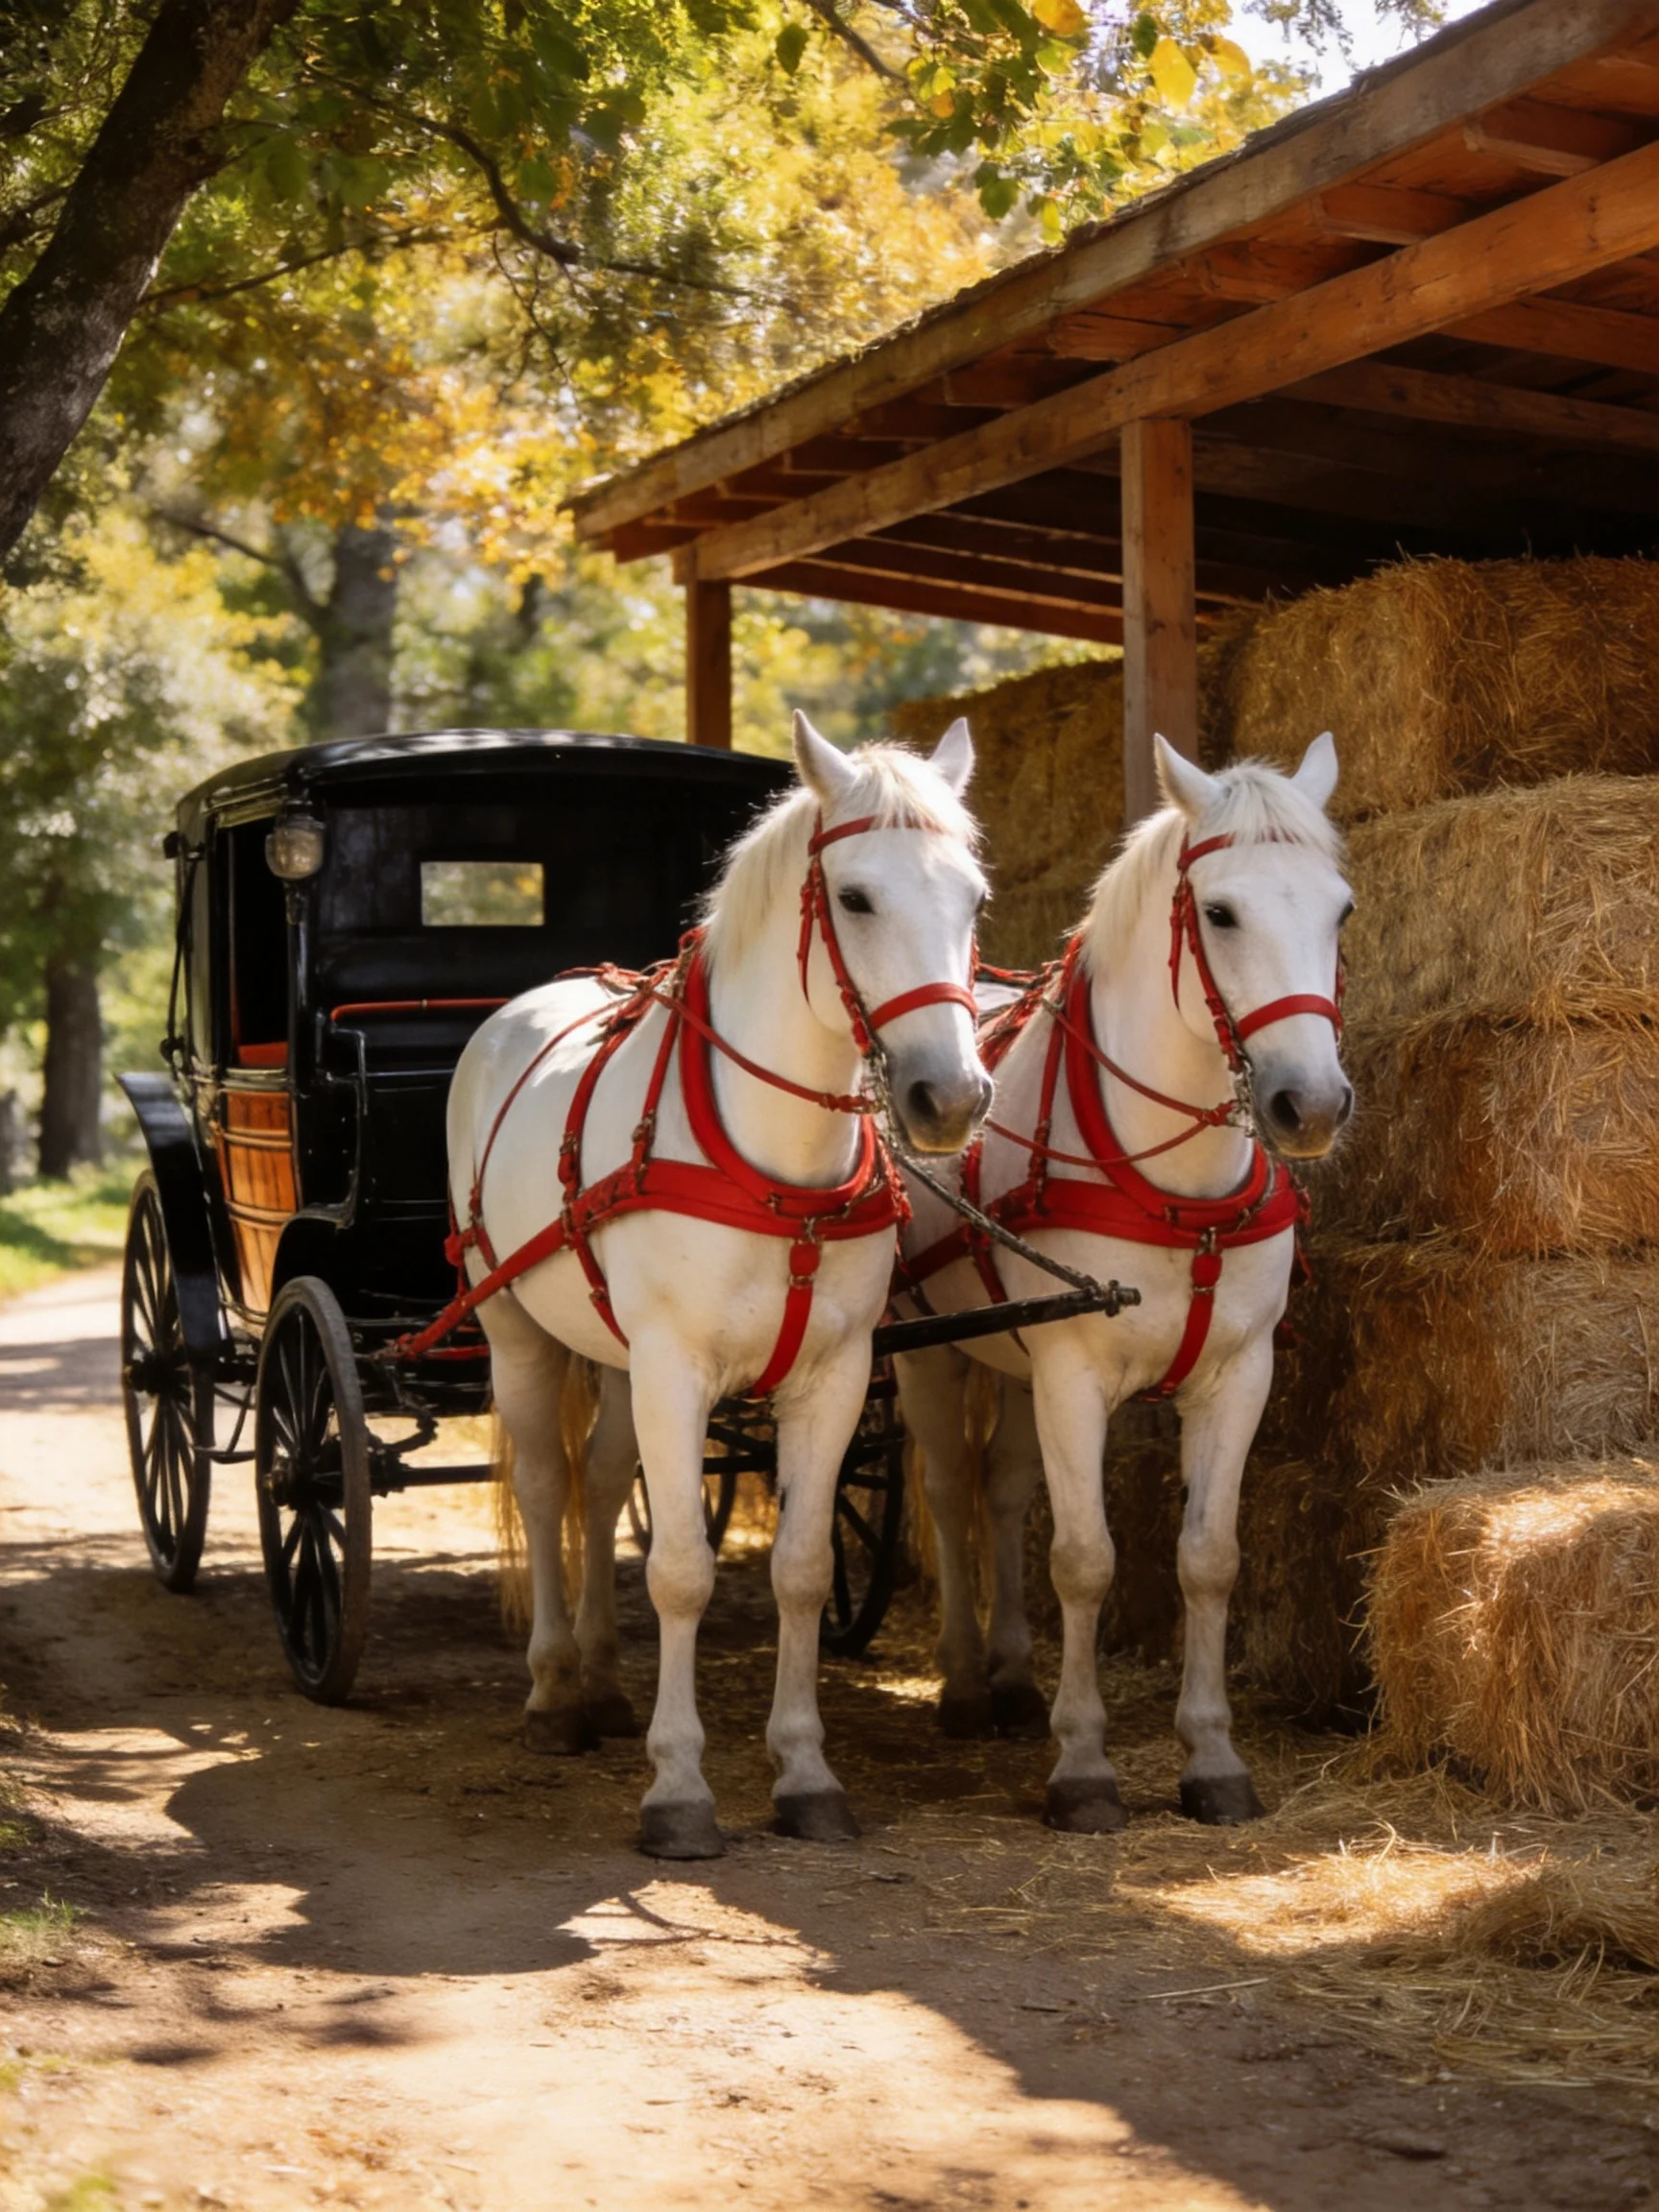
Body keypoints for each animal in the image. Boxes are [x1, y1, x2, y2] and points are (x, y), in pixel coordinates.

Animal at [446, 713, 990, 1859]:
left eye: (971, 898)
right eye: (855, 897)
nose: (951, 1098)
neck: (780, 1172)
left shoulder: (832, 1377)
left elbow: (801, 1567)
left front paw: (805, 1774)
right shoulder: (675, 1371)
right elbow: (683, 1572)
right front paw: (680, 1790)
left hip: (612, 1357)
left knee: (600, 1485)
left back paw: (605, 1684)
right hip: (516, 1328)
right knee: (547, 1489)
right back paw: (555, 1691)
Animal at [893, 733, 1352, 1833]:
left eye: (1341, 910)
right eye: (1220, 913)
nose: (1311, 1106)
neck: (1177, 1191)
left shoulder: (1239, 1376)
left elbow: (1208, 1558)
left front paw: (1213, 1758)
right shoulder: (1071, 1374)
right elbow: (1086, 1559)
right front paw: (1085, 1768)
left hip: (1013, 1359)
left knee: (1003, 1491)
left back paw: (1015, 1681)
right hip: (929, 1357)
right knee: (949, 1490)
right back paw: (967, 1684)